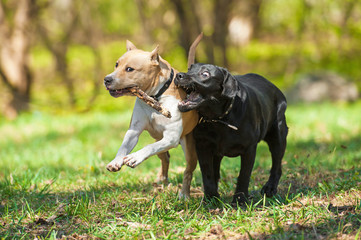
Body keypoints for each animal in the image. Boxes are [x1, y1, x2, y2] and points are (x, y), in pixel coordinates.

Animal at [104, 40, 198, 198]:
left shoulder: (171, 137)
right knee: (165, 158)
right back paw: (162, 180)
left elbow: (148, 147)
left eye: (129, 69)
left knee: (188, 171)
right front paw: (116, 161)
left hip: (189, 148)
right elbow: (123, 147)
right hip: (160, 142)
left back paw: (184, 195)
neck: (155, 96)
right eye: (116, 64)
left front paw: (135, 157)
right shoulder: (134, 131)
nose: (106, 79)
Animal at [174, 63, 286, 204]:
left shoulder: (249, 149)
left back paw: (270, 188)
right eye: (190, 69)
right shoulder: (203, 146)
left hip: (278, 137)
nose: (179, 75)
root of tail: (276, 88)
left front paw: (240, 200)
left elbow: (244, 175)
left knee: (277, 165)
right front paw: (210, 199)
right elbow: (208, 174)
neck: (219, 119)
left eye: (205, 74)